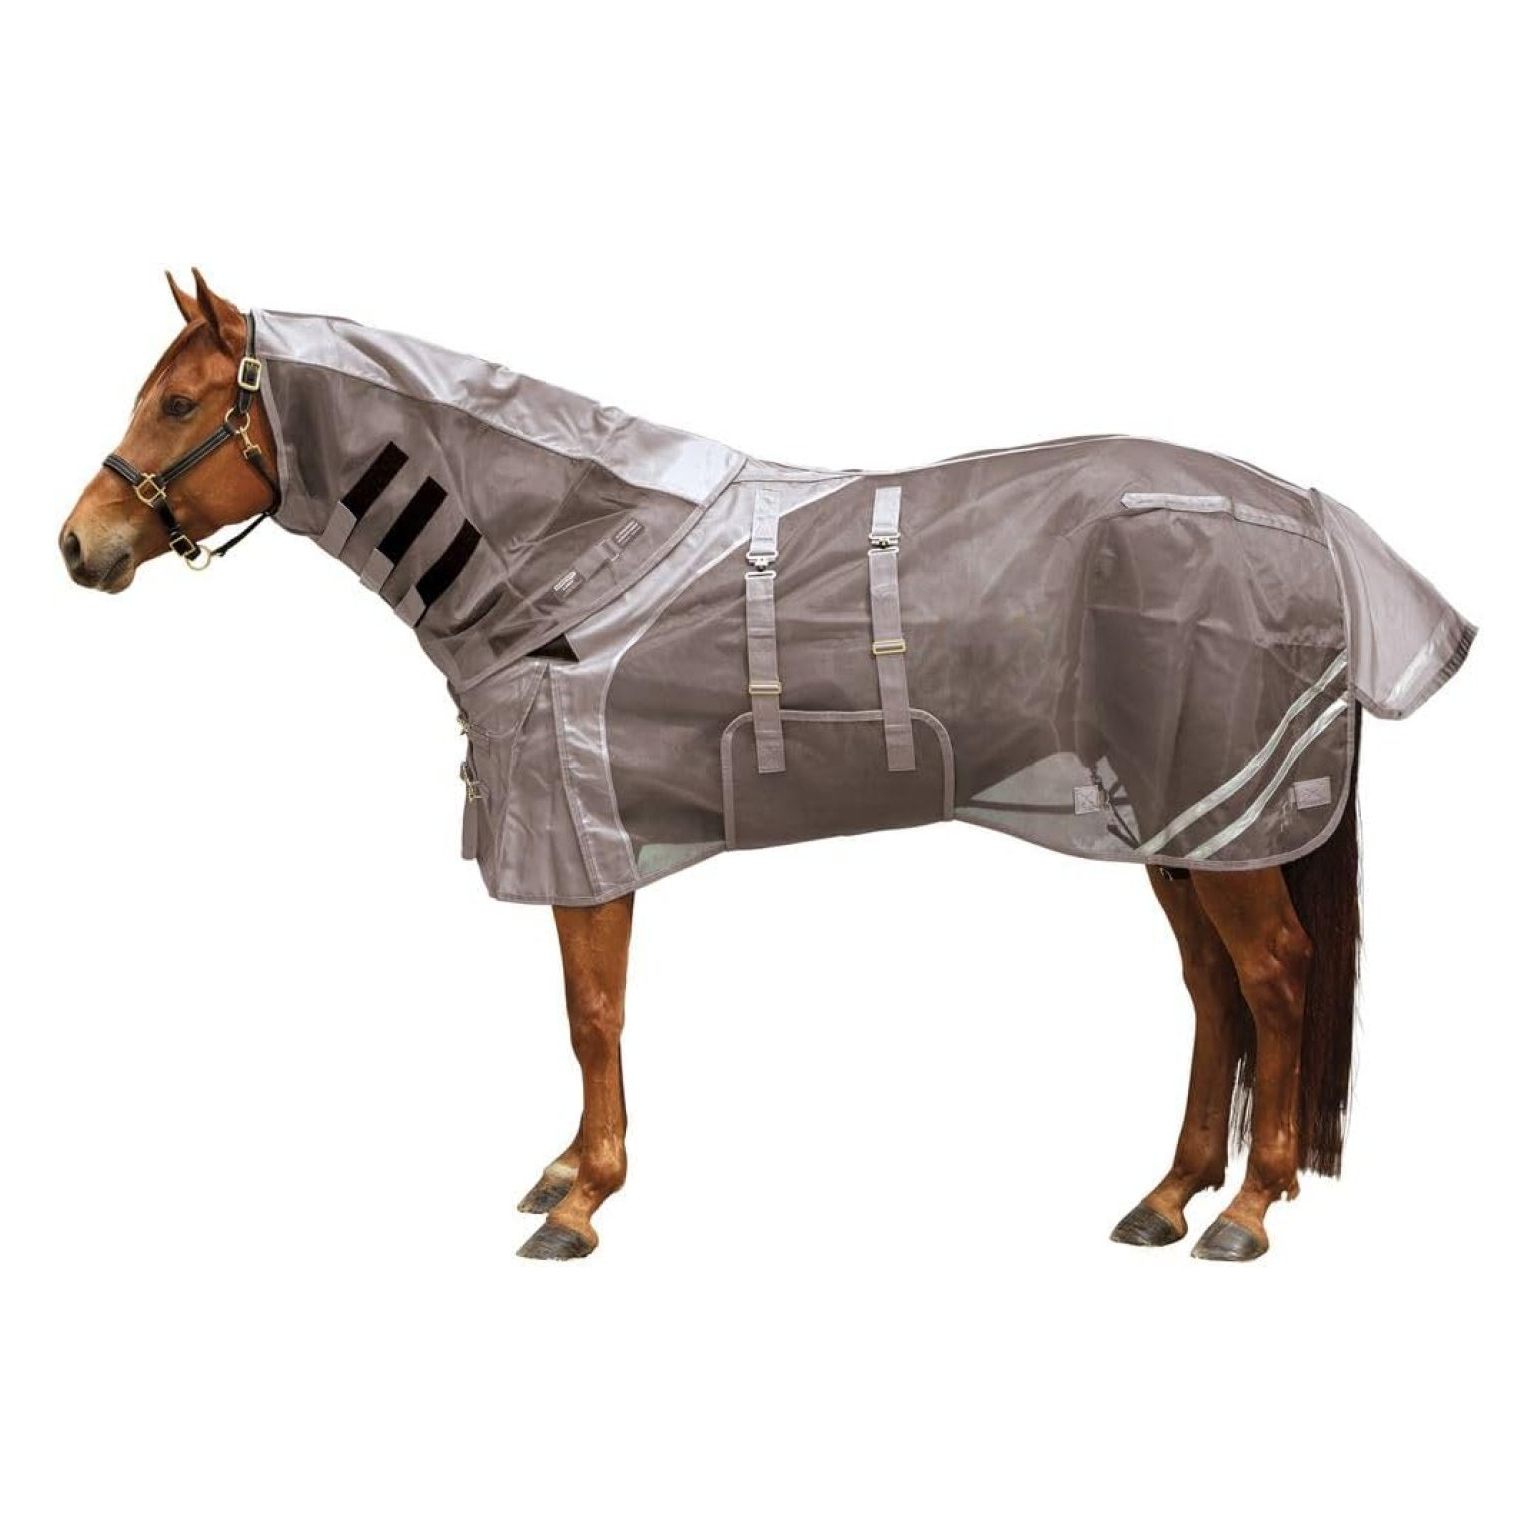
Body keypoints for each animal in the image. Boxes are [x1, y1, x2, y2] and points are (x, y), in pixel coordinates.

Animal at [58, 271, 1474, 1261]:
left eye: (180, 403)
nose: (80, 543)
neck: (566, 558)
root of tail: (1301, 515)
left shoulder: (586, 841)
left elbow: (592, 1017)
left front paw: (581, 1199)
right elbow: (584, 1017)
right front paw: (565, 1174)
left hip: (1213, 816)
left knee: (1276, 980)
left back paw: (1245, 1206)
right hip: (1173, 821)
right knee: (1213, 992)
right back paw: (1170, 1193)